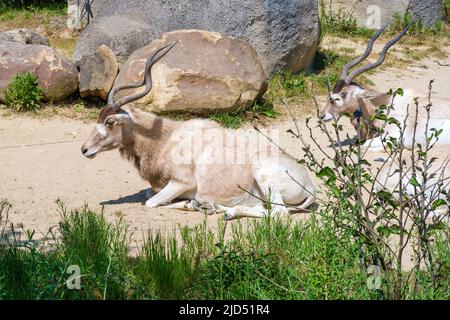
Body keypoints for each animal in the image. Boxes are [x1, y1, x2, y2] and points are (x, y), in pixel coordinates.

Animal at [81, 43, 314, 220]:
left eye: (110, 121)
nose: (84, 149)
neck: (165, 140)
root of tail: (310, 184)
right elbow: (148, 194)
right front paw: (196, 204)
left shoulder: (181, 183)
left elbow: (151, 202)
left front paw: (190, 204)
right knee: (262, 207)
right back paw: (219, 209)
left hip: (265, 177)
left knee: (278, 213)